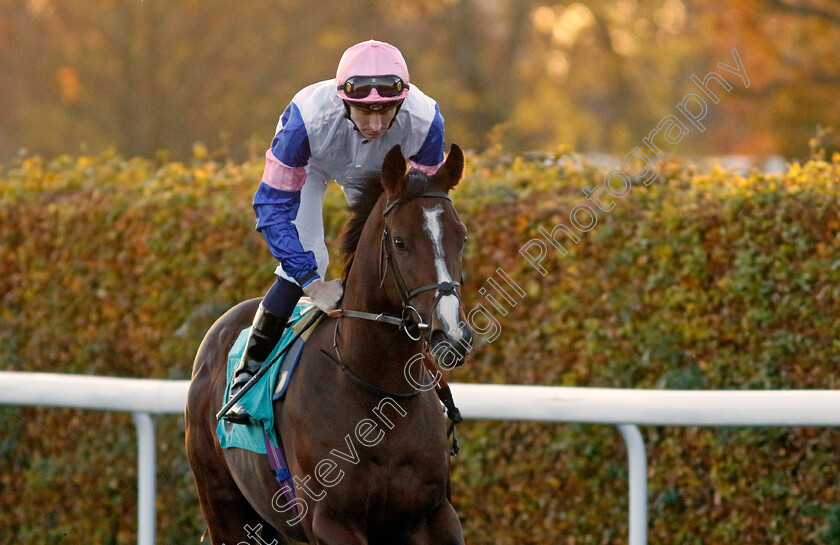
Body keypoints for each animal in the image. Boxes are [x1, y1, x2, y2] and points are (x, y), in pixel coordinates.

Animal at [185, 144, 472, 544]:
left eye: (462, 237)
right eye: (400, 241)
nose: (452, 334)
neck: (376, 390)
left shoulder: (434, 514)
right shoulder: (331, 520)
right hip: (224, 509)